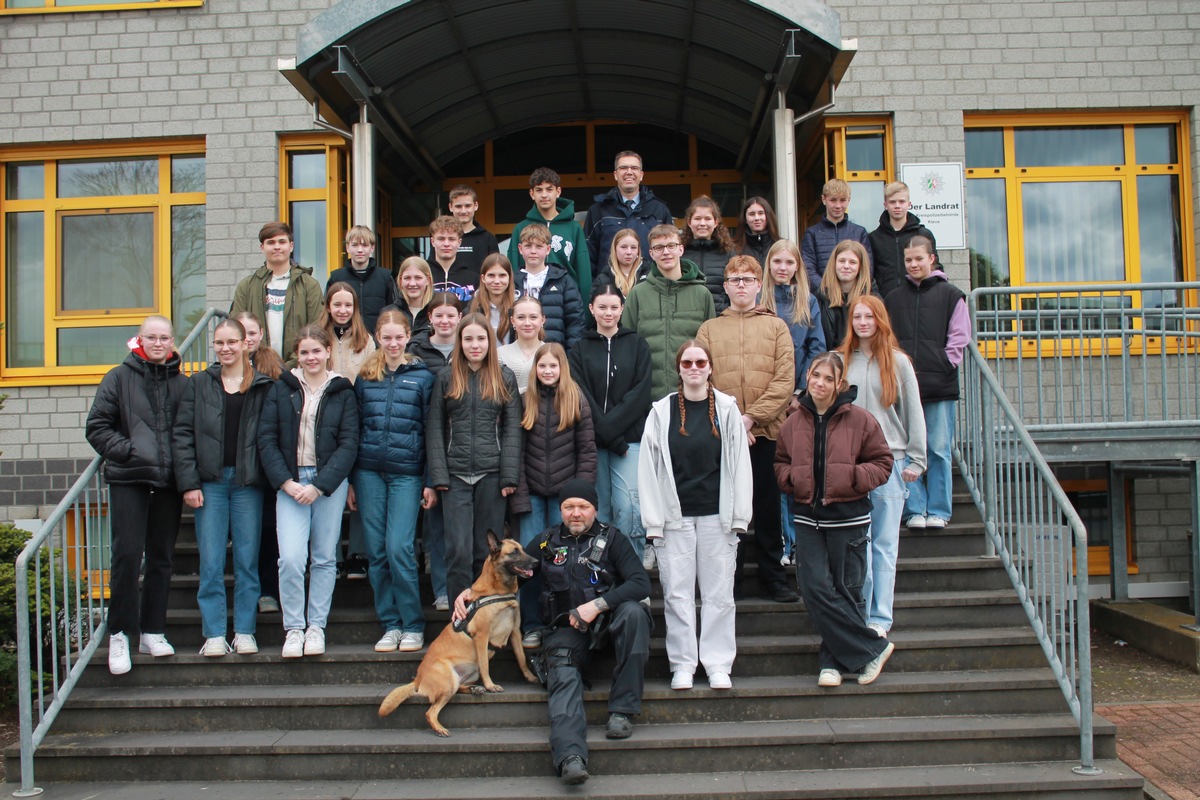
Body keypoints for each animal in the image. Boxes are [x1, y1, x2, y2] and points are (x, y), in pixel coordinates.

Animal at [379, 532, 540, 738]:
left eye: (523, 550)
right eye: (514, 552)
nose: (536, 562)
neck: (497, 590)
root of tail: (418, 678)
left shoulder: (515, 632)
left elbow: (521, 659)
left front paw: (530, 677)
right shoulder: (481, 637)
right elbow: (486, 665)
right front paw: (490, 685)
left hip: (463, 677)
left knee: (459, 688)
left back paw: (474, 688)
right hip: (448, 682)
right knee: (430, 712)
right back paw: (441, 727)